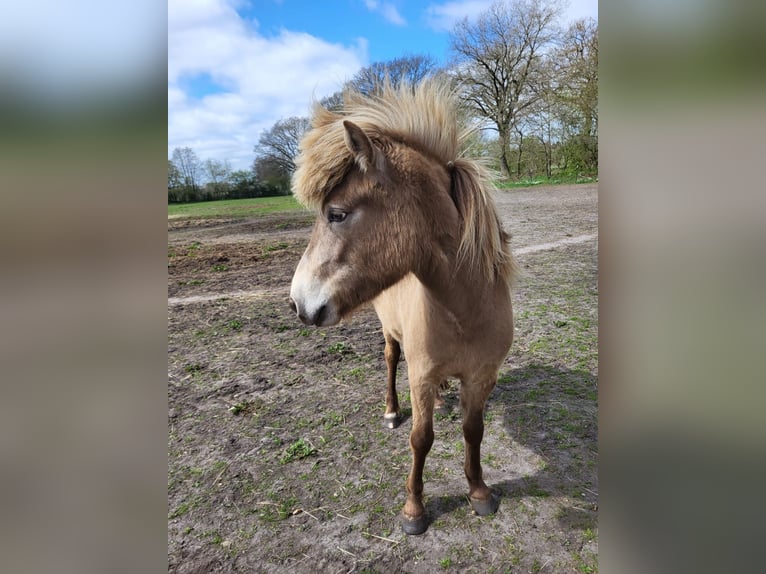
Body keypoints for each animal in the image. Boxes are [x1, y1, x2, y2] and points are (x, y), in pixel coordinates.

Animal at [288, 79, 517, 535]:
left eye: (336, 214)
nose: (298, 302)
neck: (465, 310)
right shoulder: (420, 374)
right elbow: (421, 439)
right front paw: (414, 509)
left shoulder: (481, 376)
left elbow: (473, 430)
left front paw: (479, 491)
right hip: (391, 338)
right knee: (391, 360)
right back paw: (392, 411)